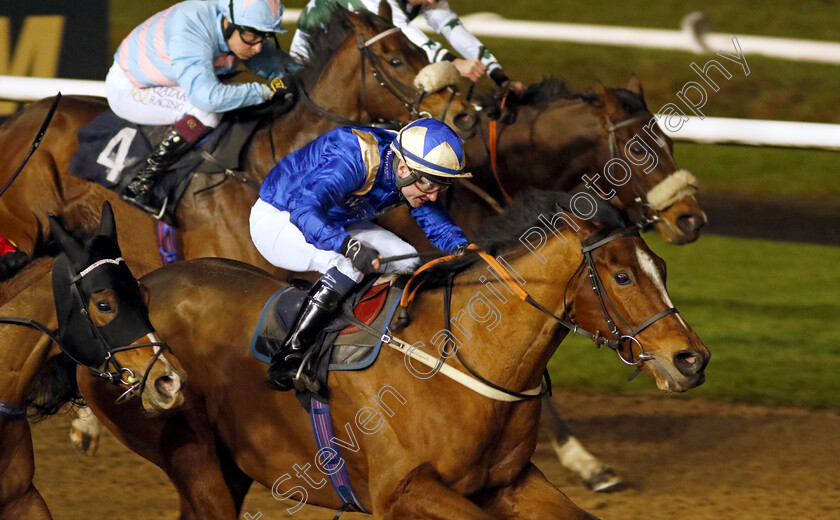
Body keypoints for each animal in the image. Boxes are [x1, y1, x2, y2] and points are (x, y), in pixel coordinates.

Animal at [0, 7, 476, 280]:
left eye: (422, 50)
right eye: (394, 59)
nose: (463, 116)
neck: (261, 166)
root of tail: (20, 118)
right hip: (23, 226)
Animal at [77, 191, 708, 520]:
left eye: (662, 266)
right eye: (622, 275)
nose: (691, 359)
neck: (461, 358)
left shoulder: (508, 482)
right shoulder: (403, 492)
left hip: (226, 468)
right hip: (189, 454)